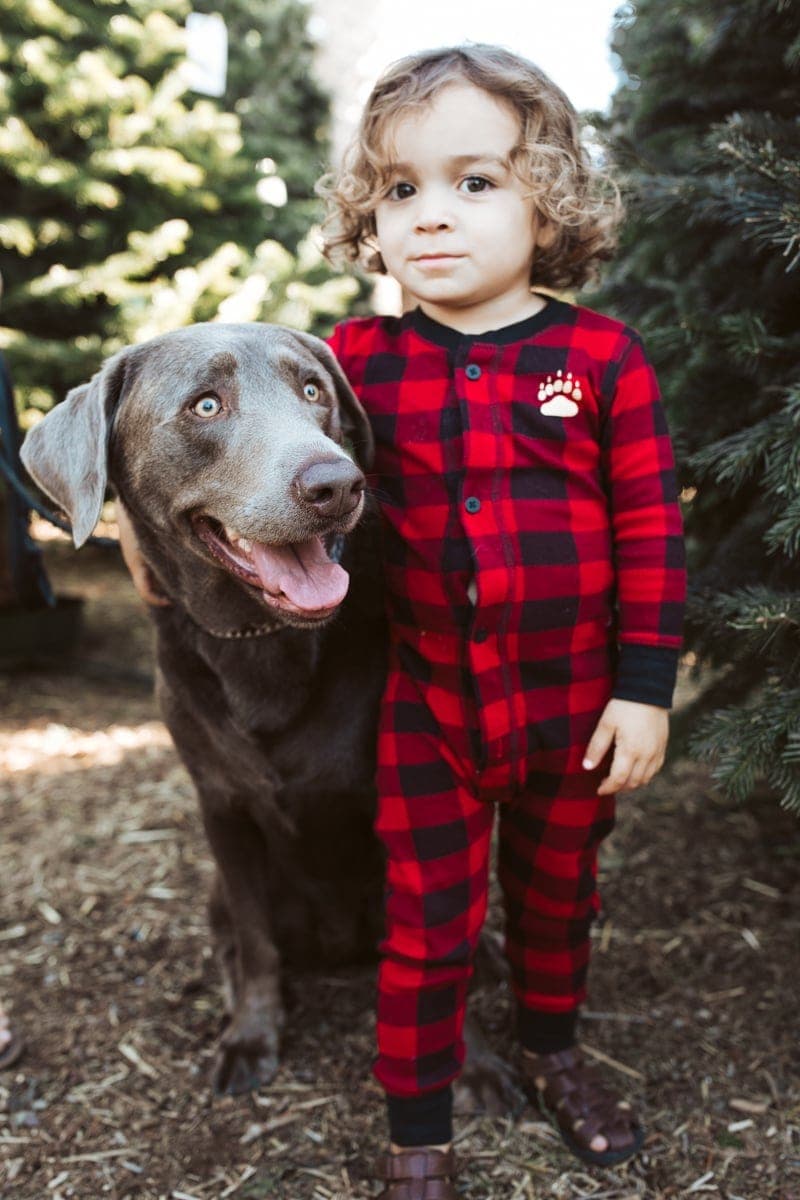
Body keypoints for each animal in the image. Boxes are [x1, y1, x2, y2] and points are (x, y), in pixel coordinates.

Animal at [21, 324, 520, 1108]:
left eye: (313, 390)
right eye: (205, 404)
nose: (337, 484)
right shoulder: (223, 809)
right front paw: (253, 1036)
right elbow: (257, 945)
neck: (261, 640)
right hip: (218, 892)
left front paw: (472, 1063)